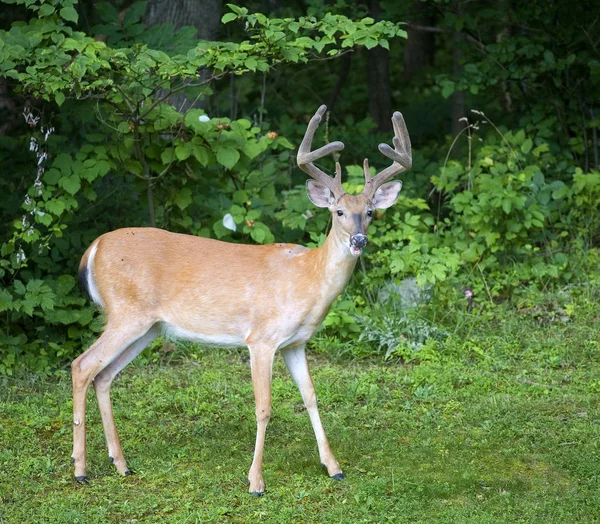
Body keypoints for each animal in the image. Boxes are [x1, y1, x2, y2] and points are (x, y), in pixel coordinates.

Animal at [69, 105, 408, 496]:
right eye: (338, 212)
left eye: (370, 212)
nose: (359, 240)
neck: (307, 279)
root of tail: (94, 248)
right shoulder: (261, 339)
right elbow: (264, 407)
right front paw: (256, 481)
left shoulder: (296, 343)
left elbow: (311, 396)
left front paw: (334, 467)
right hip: (127, 313)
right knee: (82, 365)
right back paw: (80, 469)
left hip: (148, 327)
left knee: (104, 375)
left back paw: (121, 464)